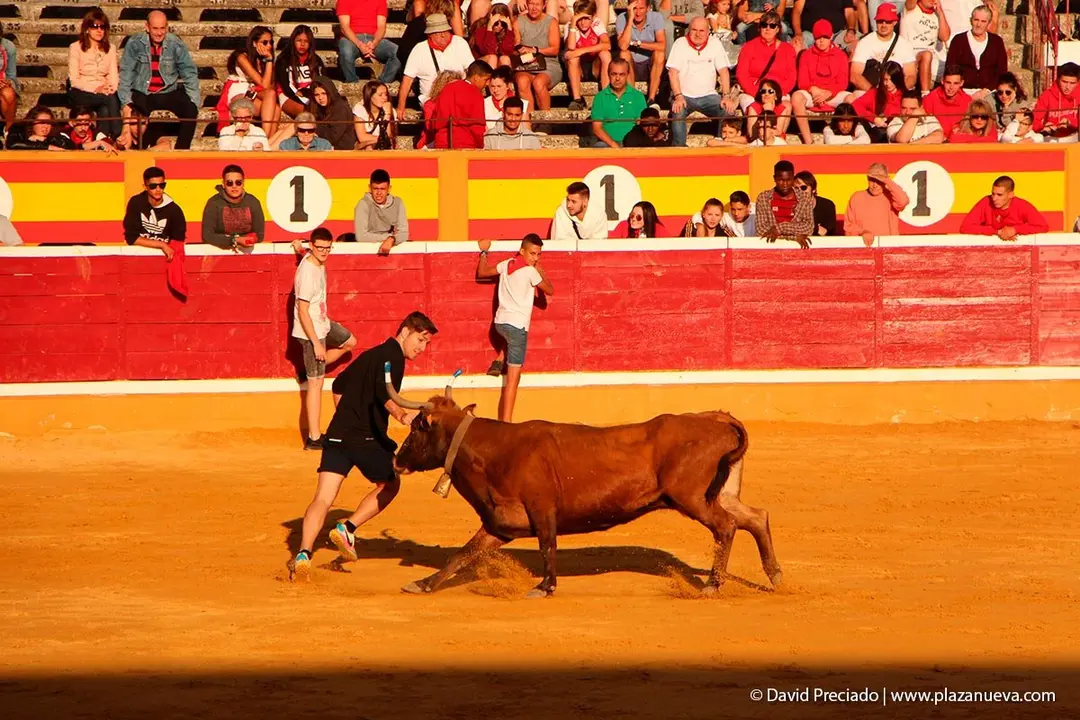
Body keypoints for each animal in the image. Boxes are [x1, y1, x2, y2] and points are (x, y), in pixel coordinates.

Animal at [386, 374, 782, 598]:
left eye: (417, 426)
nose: (396, 459)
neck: (494, 450)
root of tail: (716, 418)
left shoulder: (543, 509)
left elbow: (548, 547)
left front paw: (544, 587)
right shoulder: (500, 524)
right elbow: (462, 554)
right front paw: (422, 584)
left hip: (692, 497)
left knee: (727, 526)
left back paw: (713, 584)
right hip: (719, 494)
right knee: (755, 517)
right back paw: (774, 575)